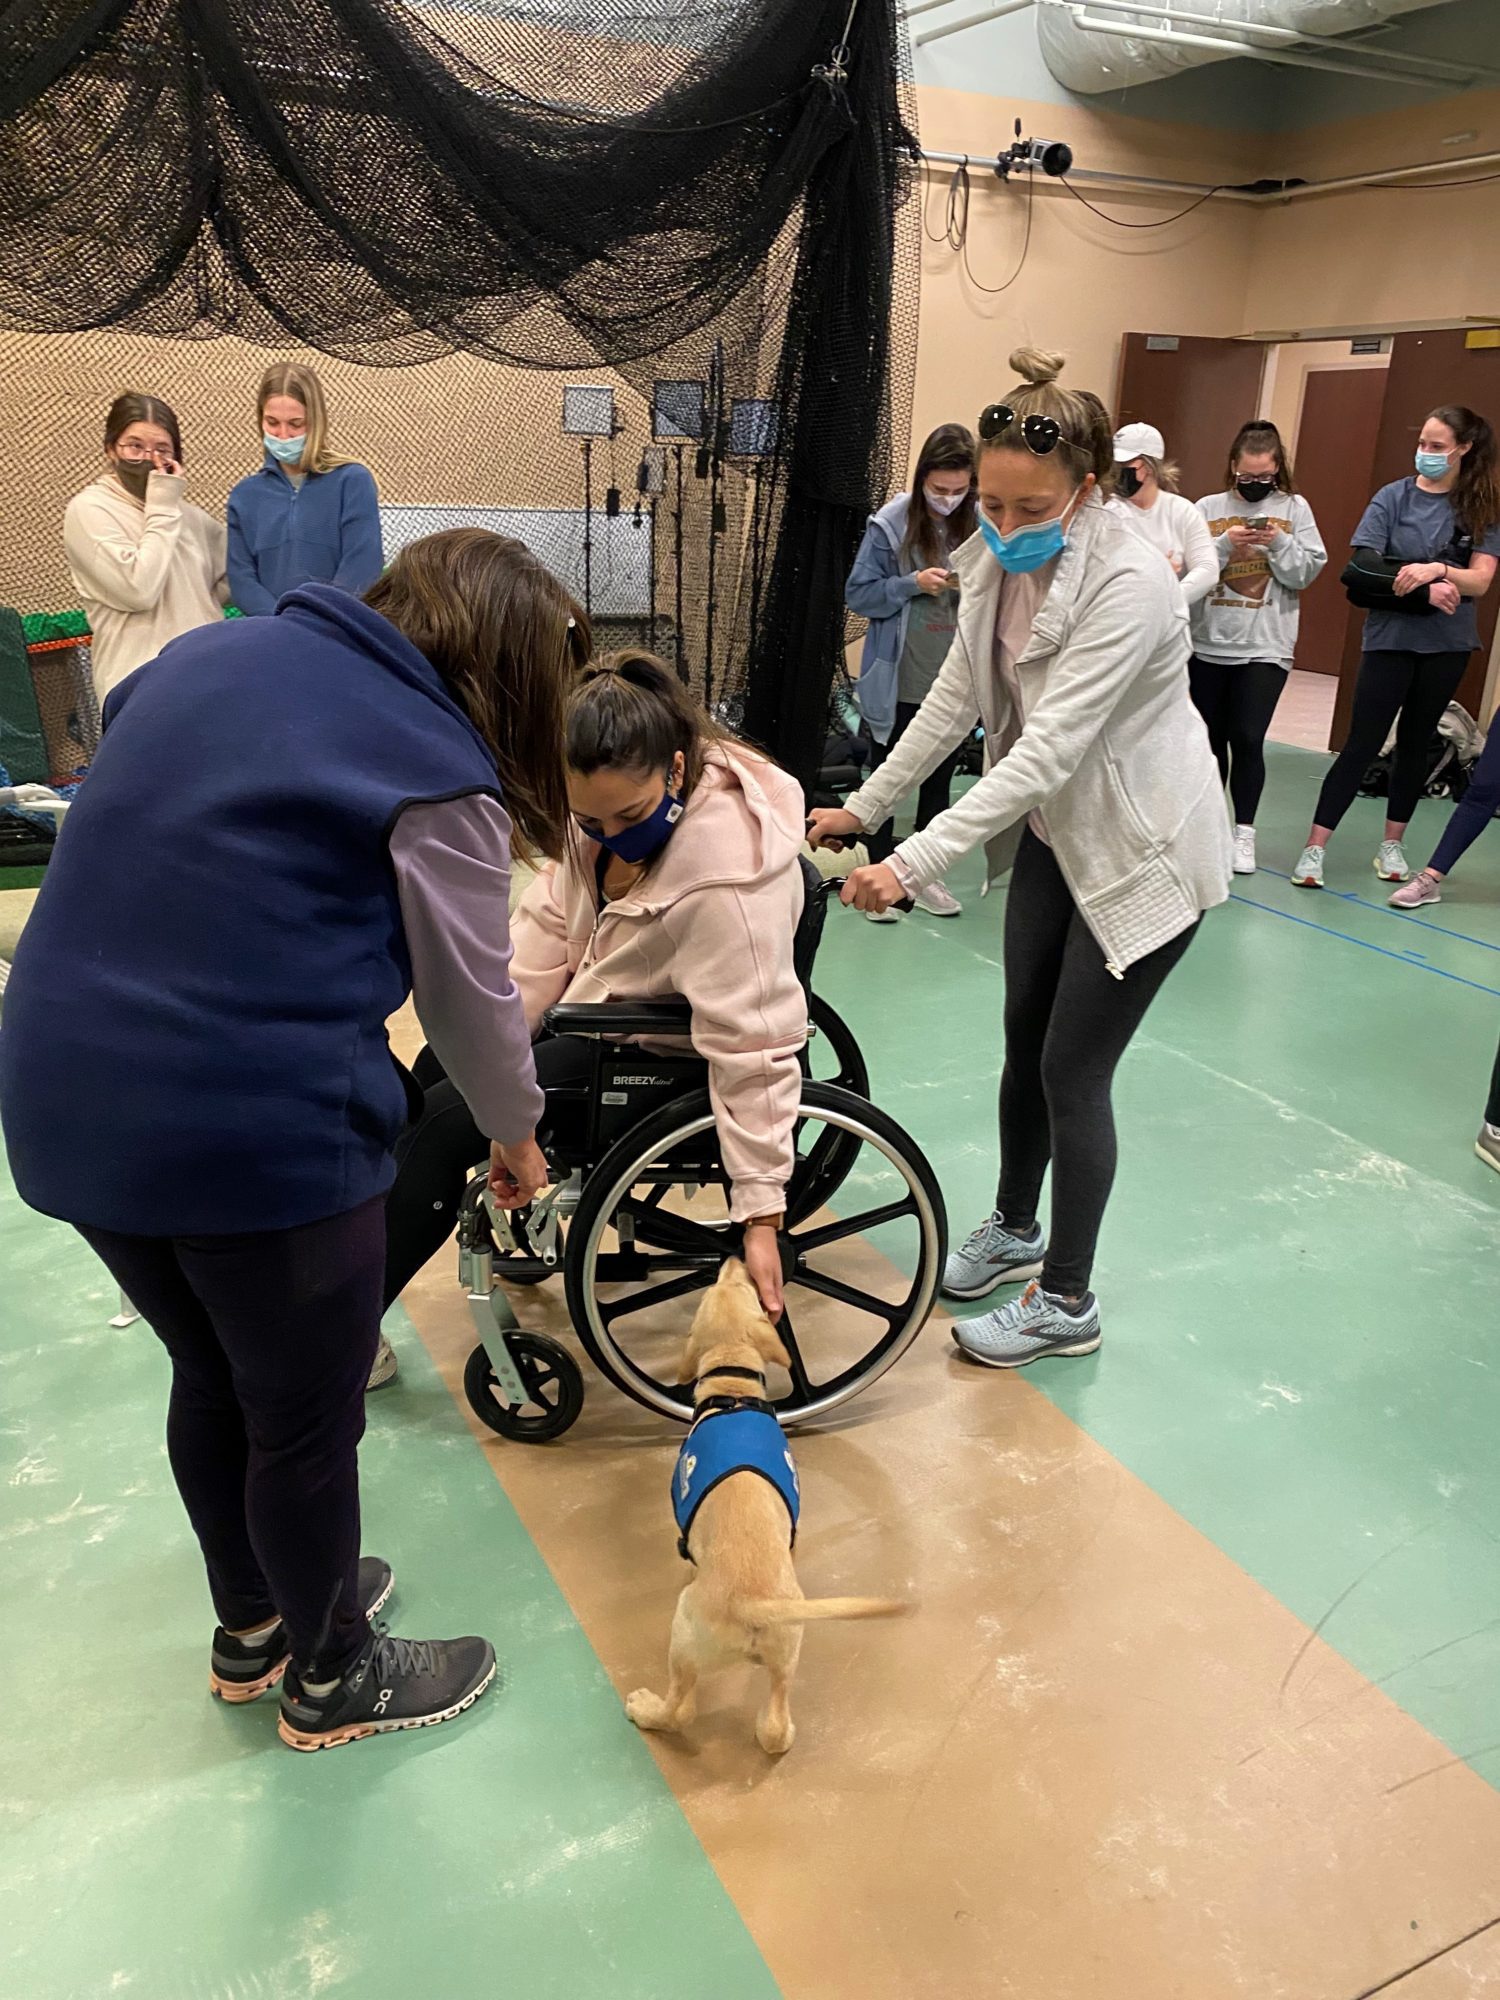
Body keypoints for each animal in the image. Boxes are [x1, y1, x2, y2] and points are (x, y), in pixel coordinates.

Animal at [624, 1256, 904, 1760]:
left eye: (729, 1283)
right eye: (745, 1289)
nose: (736, 1258)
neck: (733, 1393)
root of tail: (753, 1604)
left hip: (684, 1638)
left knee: (681, 1709)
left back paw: (647, 1708)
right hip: (788, 1650)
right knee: (774, 1726)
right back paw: (778, 1731)